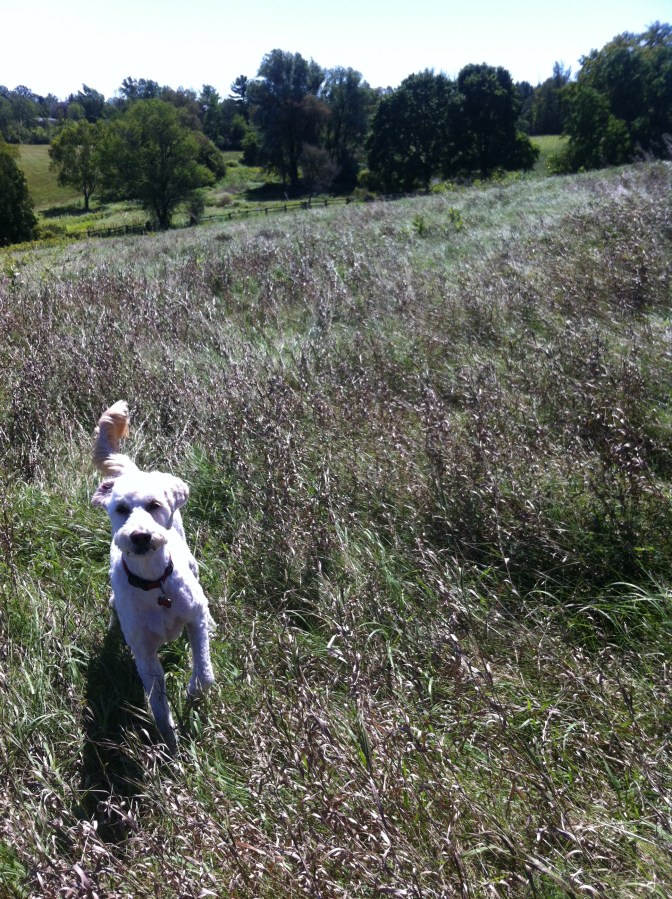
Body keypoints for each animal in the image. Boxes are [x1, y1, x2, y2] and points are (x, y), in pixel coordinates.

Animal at [92, 400, 214, 751]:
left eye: (154, 505)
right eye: (120, 509)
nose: (140, 536)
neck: (153, 583)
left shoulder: (195, 615)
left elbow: (204, 668)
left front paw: (195, 691)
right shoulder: (144, 655)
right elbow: (157, 703)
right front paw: (170, 745)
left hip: (193, 563)